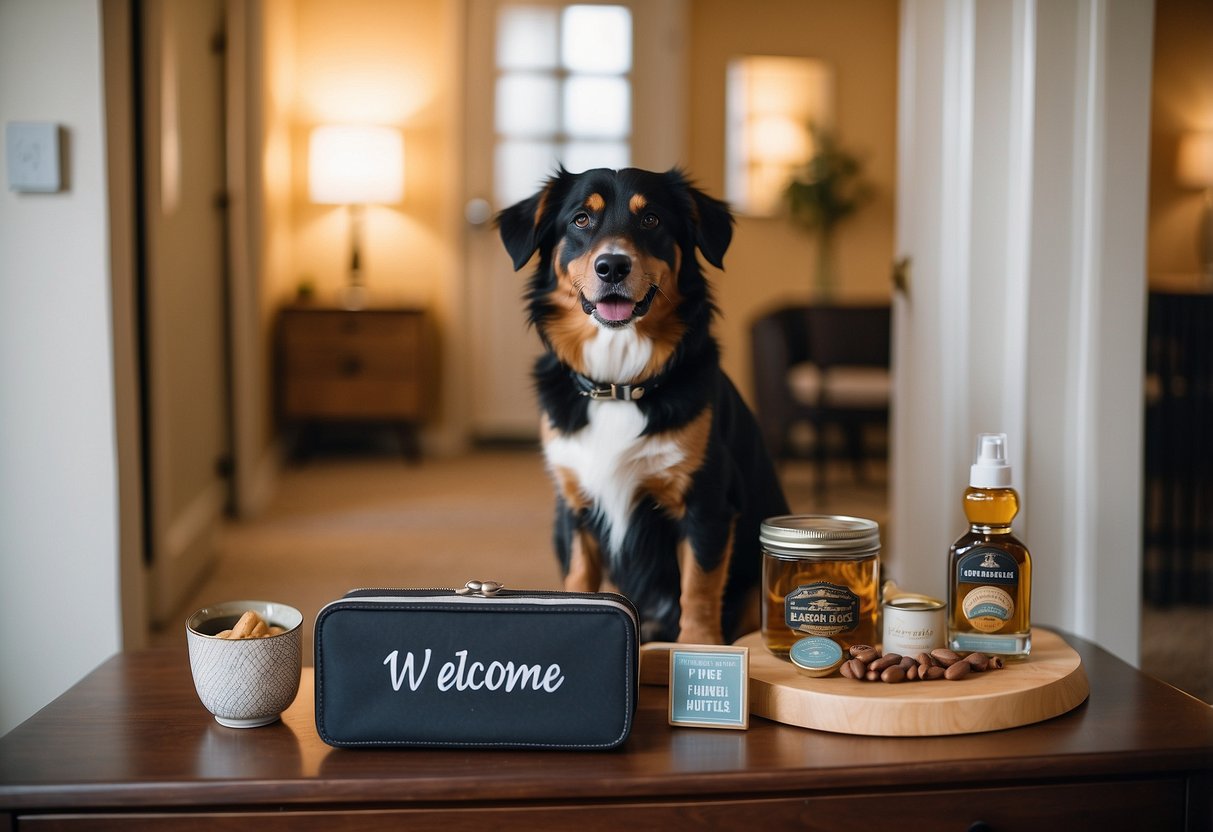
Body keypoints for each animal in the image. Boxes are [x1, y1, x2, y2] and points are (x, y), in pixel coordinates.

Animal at [497, 164, 790, 645]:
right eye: (581, 219)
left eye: (651, 219)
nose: (613, 266)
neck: (618, 385)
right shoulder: (575, 505)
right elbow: (579, 578)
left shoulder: (706, 500)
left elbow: (699, 587)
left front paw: (697, 647)